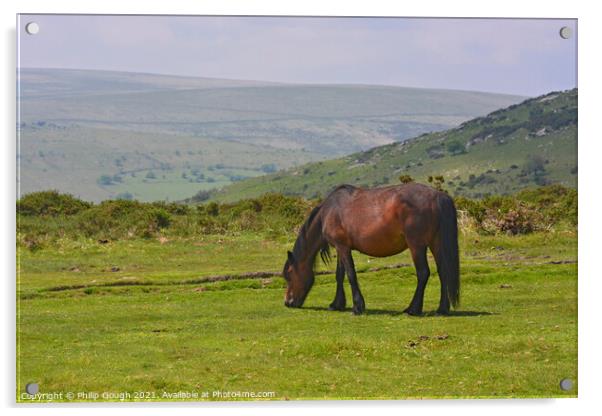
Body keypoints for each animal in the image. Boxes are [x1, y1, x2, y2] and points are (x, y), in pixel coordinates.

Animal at [282, 182, 460, 316]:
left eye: (289, 274)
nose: (288, 302)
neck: (330, 211)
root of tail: (438, 196)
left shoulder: (343, 247)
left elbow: (350, 274)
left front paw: (357, 307)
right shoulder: (341, 248)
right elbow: (339, 275)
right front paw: (337, 304)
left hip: (416, 245)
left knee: (423, 273)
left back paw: (413, 309)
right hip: (435, 244)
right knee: (443, 272)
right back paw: (442, 309)